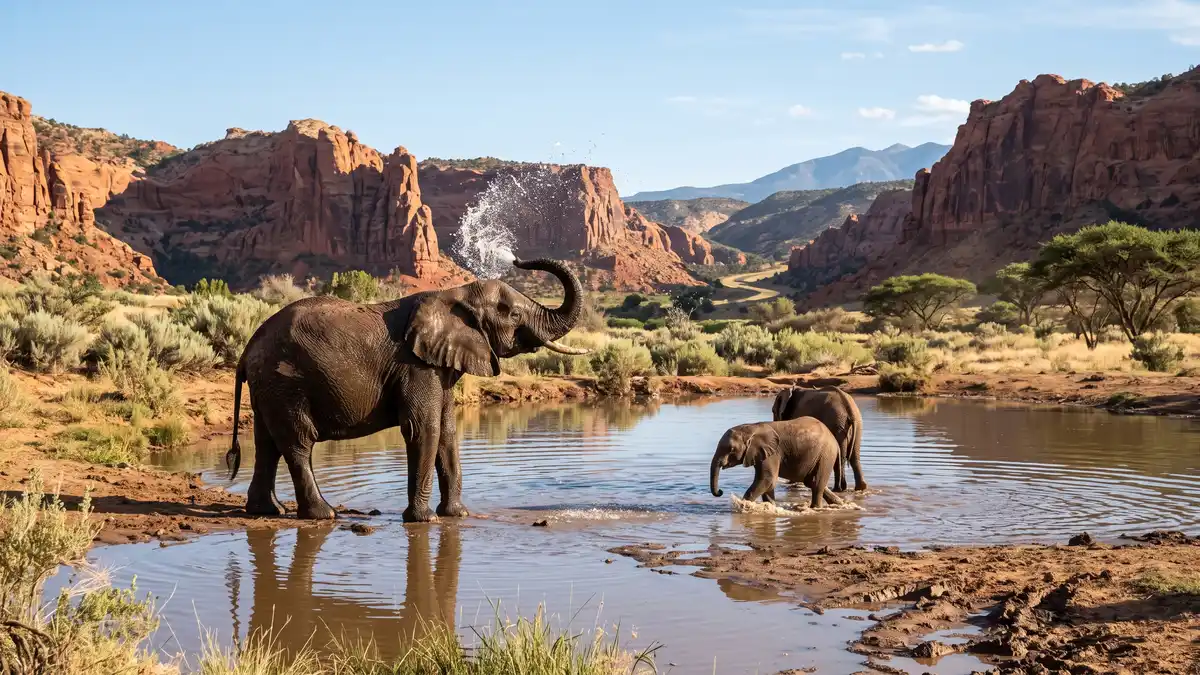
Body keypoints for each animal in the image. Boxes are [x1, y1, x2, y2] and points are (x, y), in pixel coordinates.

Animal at [225, 258, 590, 522]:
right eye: (513, 314)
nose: (517, 259)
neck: (456, 295)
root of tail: (247, 349)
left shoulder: (438, 366)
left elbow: (446, 430)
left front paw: (457, 516)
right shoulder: (416, 367)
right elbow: (423, 429)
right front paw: (424, 520)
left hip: (269, 387)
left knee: (267, 443)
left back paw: (267, 511)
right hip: (285, 381)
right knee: (298, 441)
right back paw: (323, 515)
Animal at [709, 417, 844, 508]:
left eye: (731, 449)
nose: (720, 491)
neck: (752, 427)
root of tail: (835, 441)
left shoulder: (773, 453)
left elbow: (767, 479)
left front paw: (743, 506)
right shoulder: (762, 453)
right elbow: (767, 482)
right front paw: (770, 506)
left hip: (825, 454)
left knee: (816, 483)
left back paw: (816, 508)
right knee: (811, 482)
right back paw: (840, 504)